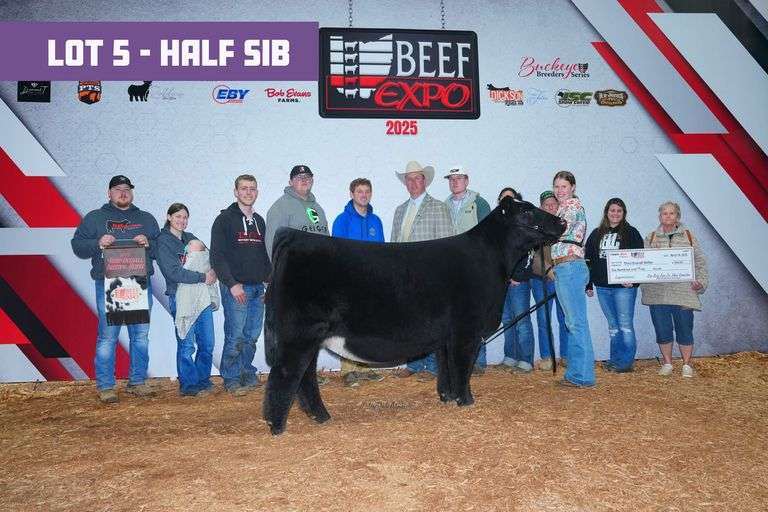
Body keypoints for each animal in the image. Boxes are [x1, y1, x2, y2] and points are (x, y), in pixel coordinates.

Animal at [262, 197, 566, 435]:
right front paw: (466, 401)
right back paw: (277, 426)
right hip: (299, 335)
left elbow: (446, 367)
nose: (562, 222)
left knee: (305, 377)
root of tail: (293, 236)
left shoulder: (447, 335)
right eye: (527, 211)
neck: (492, 260)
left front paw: (447, 397)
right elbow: (462, 367)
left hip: (309, 338)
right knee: (285, 375)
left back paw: (321, 417)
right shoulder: (466, 330)